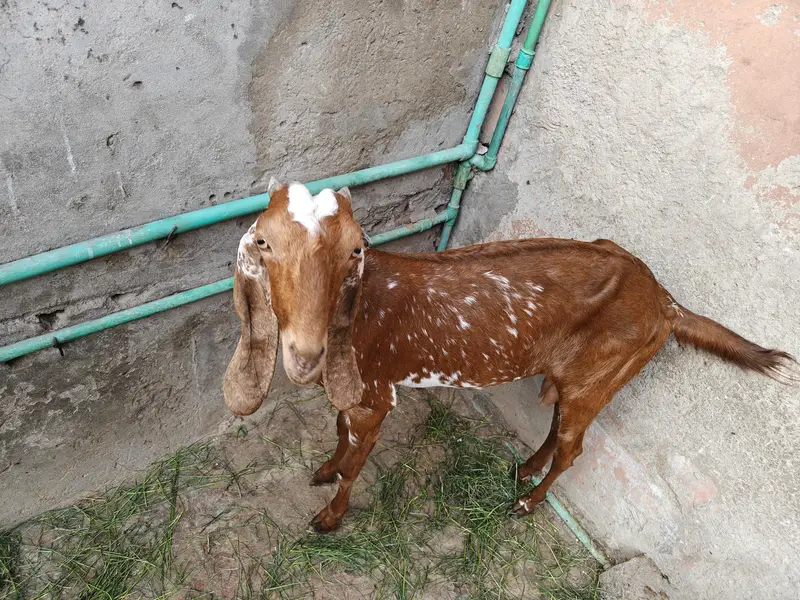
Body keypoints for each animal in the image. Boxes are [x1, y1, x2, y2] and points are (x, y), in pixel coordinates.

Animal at [223, 179, 798, 532]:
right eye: (264, 243)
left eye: (354, 252)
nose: (306, 354)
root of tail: (665, 301)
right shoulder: (353, 392)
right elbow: (339, 433)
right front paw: (323, 468)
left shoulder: (376, 393)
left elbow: (353, 463)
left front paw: (329, 518)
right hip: (575, 376)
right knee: (559, 425)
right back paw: (524, 470)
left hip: (601, 375)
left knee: (573, 446)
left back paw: (527, 501)